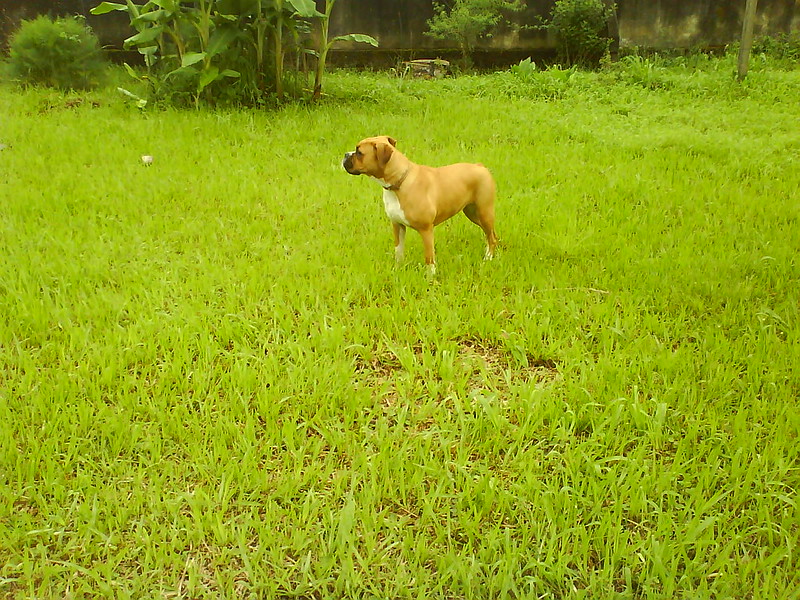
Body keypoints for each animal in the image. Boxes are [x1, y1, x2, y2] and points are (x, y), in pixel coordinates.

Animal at [342, 136, 496, 274]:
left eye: (359, 152)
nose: (345, 154)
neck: (399, 182)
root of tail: (479, 166)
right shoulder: (398, 225)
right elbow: (399, 250)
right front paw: (398, 270)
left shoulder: (426, 230)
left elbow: (429, 258)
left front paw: (430, 278)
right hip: (473, 213)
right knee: (490, 235)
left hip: (484, 213)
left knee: (492, 237)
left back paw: (488, 258)